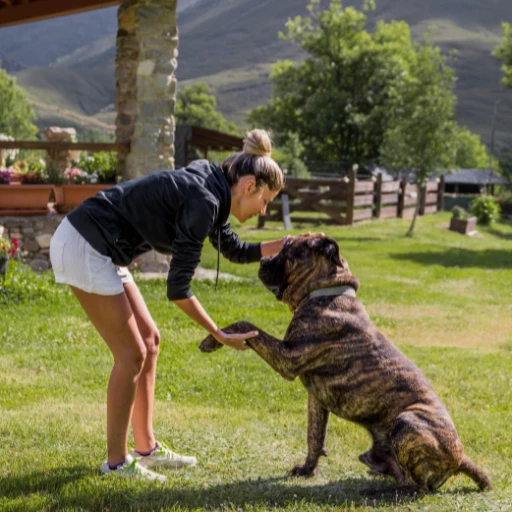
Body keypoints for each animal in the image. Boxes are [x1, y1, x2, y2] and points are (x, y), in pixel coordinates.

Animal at [198, 234, 490, 494]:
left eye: (289, 252)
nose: (263, 260)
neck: (324, 293)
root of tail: (461, 459)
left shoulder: (287, 358)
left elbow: (249, 326)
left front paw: (212, 339)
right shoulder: (317, 399)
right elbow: (314, 437)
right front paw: (307, 470)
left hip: (408, 421)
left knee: (418, 488)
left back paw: (382, 493)